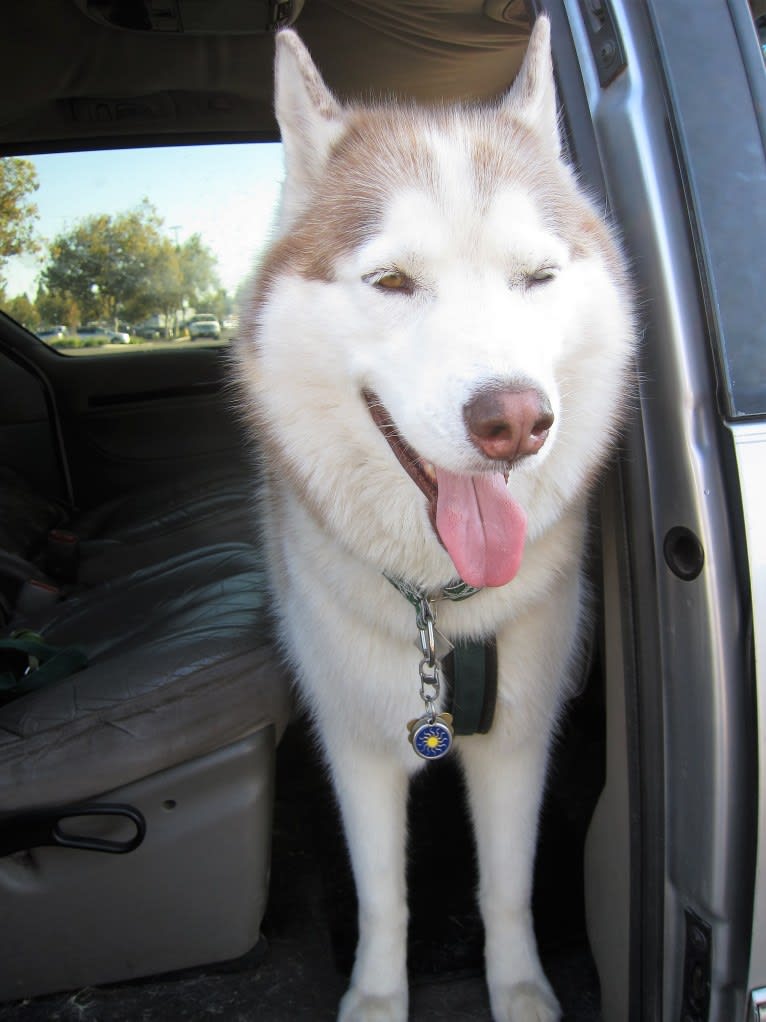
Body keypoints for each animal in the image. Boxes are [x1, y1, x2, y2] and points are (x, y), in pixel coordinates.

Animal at [233, 18, 637, 1021]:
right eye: (391, 280)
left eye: (536, 276)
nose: (516, 421)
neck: (441, 609)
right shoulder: (354, 739)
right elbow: (384, 896)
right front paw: (377, 998)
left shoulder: (522, 736)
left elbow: (508, 885)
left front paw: (520, 988)